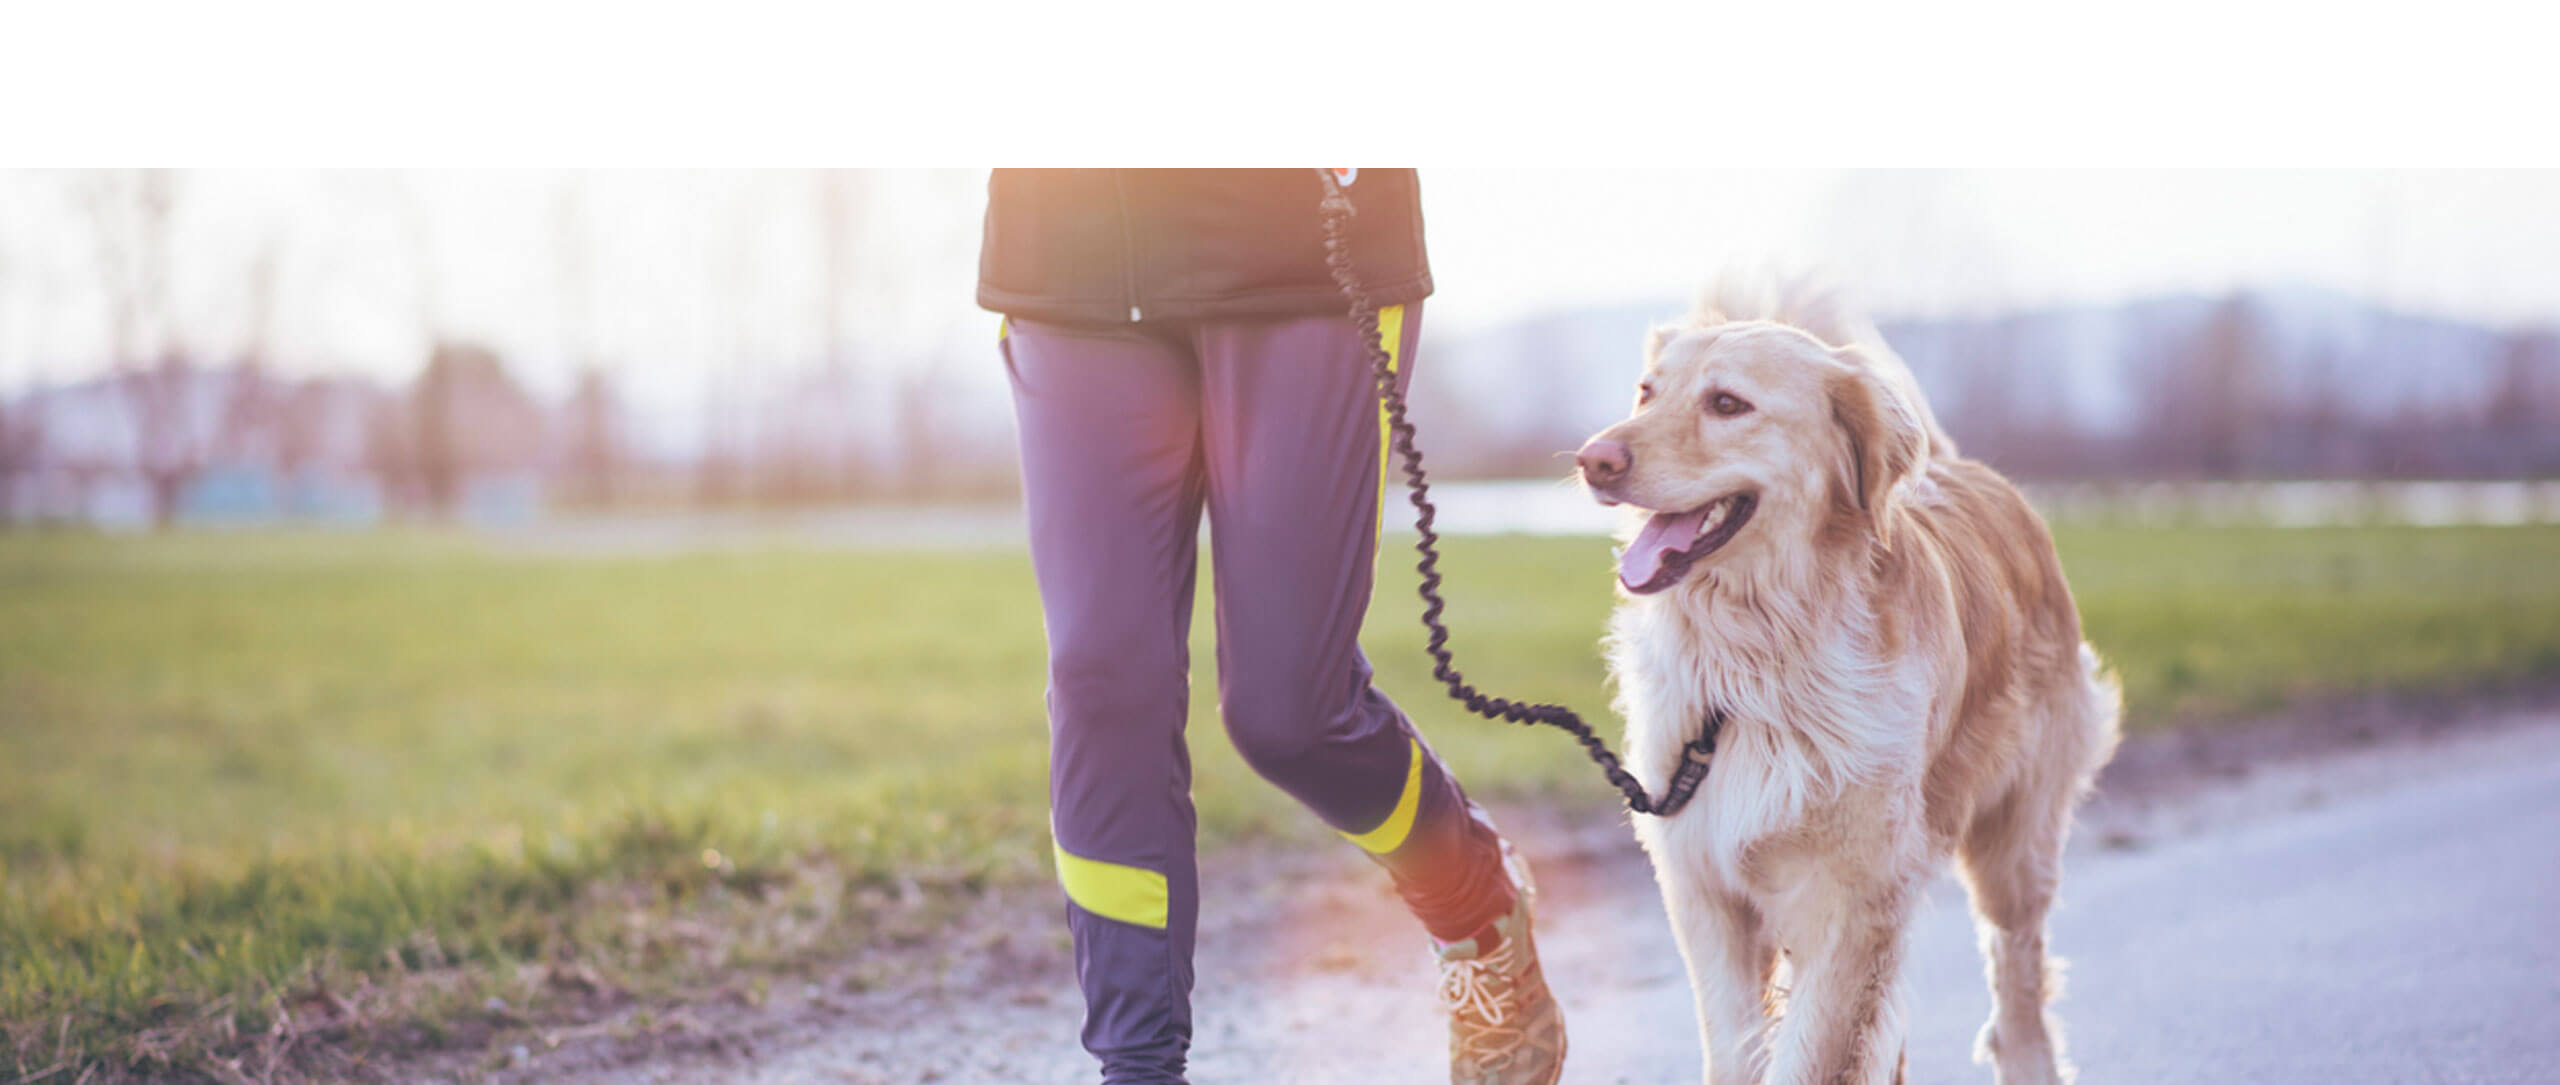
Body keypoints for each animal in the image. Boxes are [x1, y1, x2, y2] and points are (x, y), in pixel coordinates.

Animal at [1576, 275, 2119, 1079]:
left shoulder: (1851, 901)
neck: (1758, 653)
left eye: (1727, 404)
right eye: (1647, 393)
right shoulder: (1706, 892)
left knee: (2017, 976)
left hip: (2014, 846)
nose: (1594, 460)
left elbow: (1809, 1055)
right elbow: (1737, 1047)